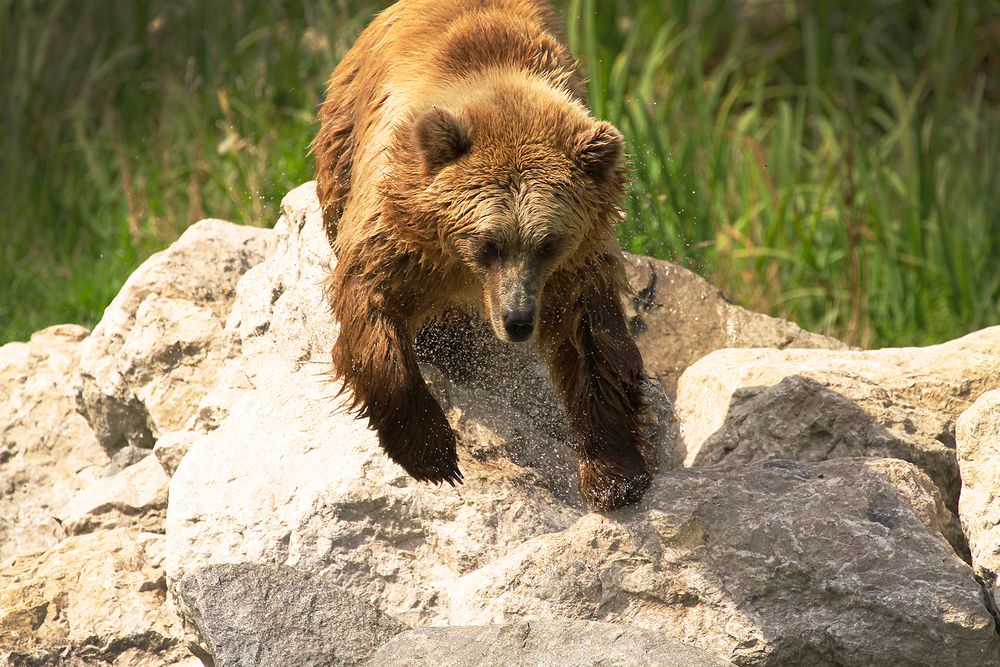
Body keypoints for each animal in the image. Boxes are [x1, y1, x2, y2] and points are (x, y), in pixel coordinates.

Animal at [316, 1, 652, 512]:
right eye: (487, 242)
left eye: (548, 243)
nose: (517, 320)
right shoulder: (398, 232)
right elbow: (371, 306)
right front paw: (433, 455)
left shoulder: (570, 268)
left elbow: (590, 339)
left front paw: (614, 475)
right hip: (343, 137)